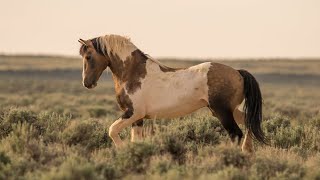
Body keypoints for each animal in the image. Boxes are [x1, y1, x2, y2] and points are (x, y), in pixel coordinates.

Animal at [78, 34, 264, 152]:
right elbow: (135, 140)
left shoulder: (132, 113)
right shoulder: (137, 119)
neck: (132, 72)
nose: (87, 83)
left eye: (88, 56)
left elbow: (112, 130)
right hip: (229, 111)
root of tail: (238, 73)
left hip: (222, 112)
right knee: (248, 124)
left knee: (236, 134)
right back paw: (247, 151)